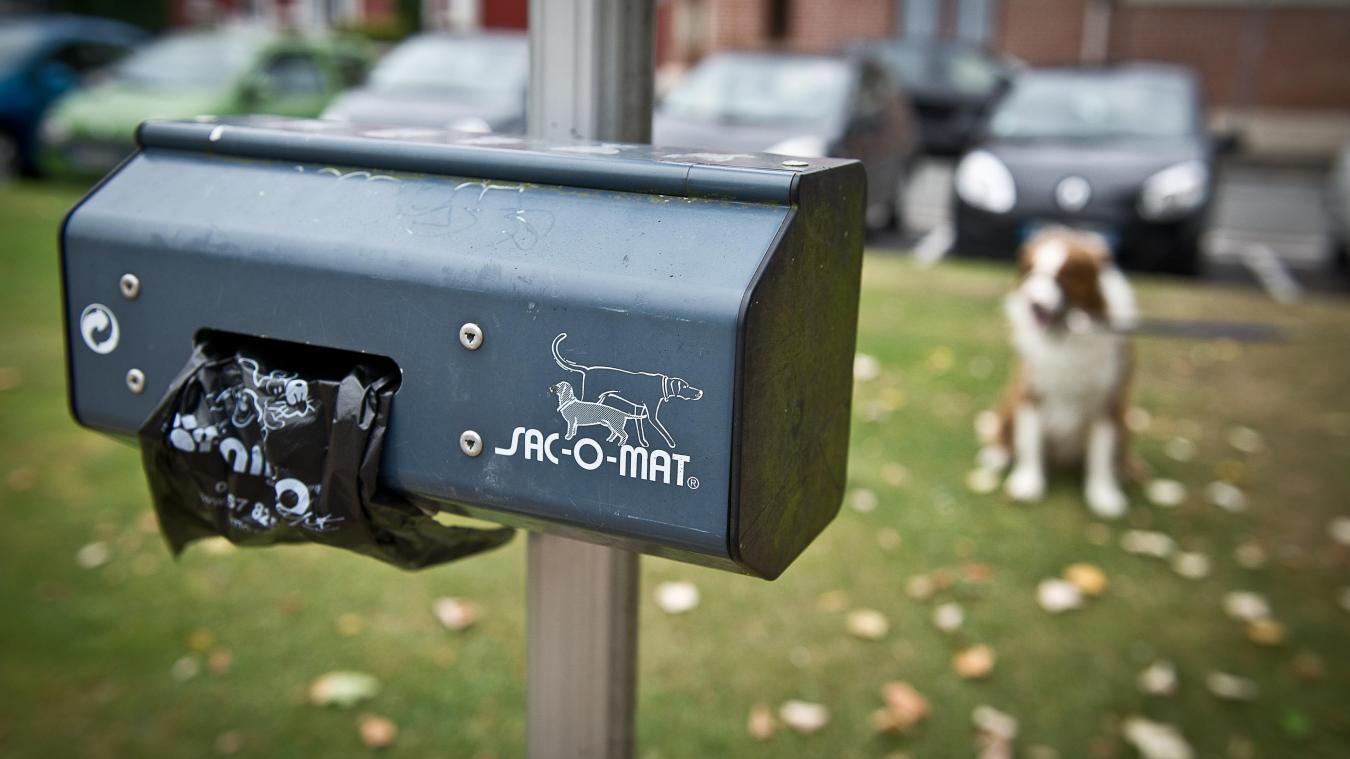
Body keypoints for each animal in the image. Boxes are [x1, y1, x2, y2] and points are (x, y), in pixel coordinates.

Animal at [982, 226, 1139, 515]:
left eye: (1064, 276)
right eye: (1030, 271)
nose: (1033, 303)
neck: (1065, 338)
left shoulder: (1109, 399)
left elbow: (1101, 453)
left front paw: (1103, 495)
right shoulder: (1031, 390)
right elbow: (1030, 442)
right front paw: (1028, 483)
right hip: (1010, 400)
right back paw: (996, 455)